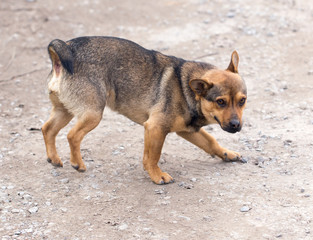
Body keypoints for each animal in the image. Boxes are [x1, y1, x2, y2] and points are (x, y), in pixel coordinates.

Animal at [41, 36, 246, 185]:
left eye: (242, 101)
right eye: (220, 102)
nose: (236, 125)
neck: (187, 87)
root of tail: (65, 50)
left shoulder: (187, 130)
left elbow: (211, 142)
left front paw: (227, 154)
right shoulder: (155, 128)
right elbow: (152, 157)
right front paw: (157, 175)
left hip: (64, 111)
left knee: (47, 129)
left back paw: (54, 158)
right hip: (93, 115)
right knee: (72, 136)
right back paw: (78, 163)